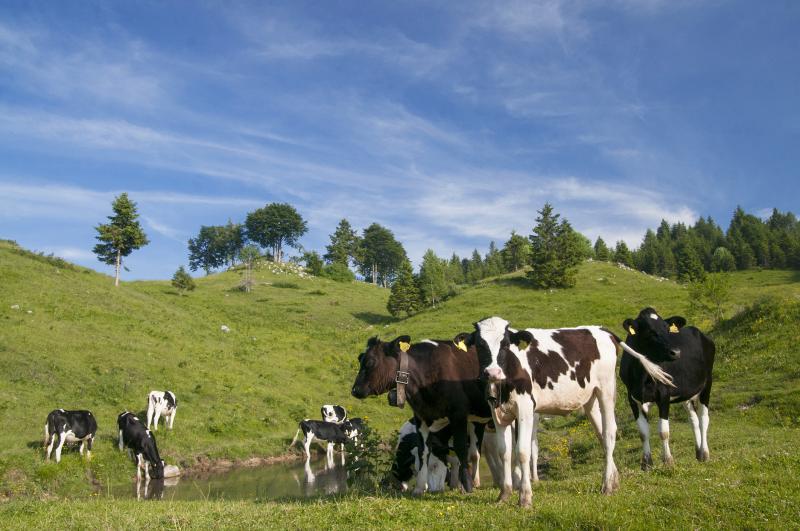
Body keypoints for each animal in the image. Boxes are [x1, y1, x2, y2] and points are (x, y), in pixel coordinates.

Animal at [352, 336, 494, 494]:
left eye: (371, 362)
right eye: (359, 358)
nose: (355, 390)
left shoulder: (458, 415)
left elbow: (461, 449)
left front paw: (466, 486)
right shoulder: (421, 417)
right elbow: (423, 451)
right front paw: (419, 487)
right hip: (477, 420)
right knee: (475, 452)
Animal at [462, 316, 676, 508]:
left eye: (505, 344)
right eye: (480, 345)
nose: (492, 372)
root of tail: (601, 329)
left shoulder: (525, 410)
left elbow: (522, 452)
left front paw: (525, 498)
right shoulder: (498, 414)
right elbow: (504, 453)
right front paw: (504, 495)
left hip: (606, 390)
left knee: (609, 434)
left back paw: (607, 485)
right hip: (590, 399)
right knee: (601, 435)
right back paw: (614, 481)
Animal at [620, 308, 716, 470]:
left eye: (666, 328)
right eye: (650, 331)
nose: (676, 352)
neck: (642, 376)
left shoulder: (664, 395)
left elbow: (664, 431)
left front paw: (668, 461)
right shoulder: (633, 398)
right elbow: (643, 433)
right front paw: (646, 464)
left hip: (707, 383)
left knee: (704, 418)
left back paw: (704, 453)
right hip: (687, 393)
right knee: (694, 419)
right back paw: (698, 453)